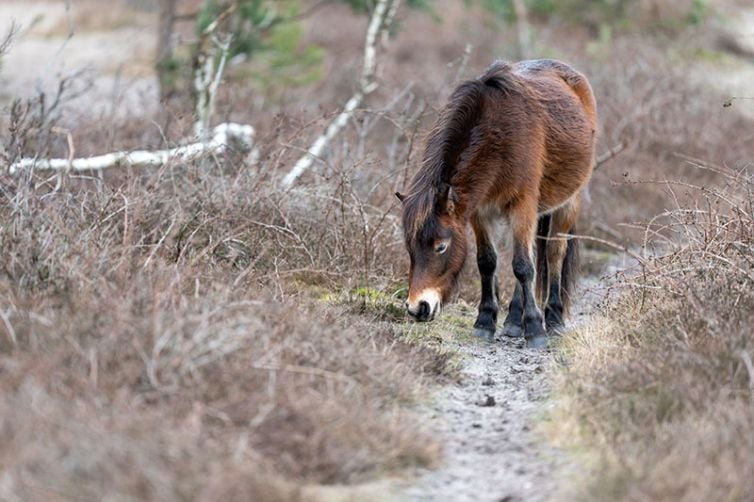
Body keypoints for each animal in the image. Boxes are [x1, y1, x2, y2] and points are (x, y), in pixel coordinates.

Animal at [395, 59, 597, 348]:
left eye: (441, 246)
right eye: (410, 247)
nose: (417, 308)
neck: (500, 135)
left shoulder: (522, 206)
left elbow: (523, 266)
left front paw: (535, 329)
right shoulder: (480, 212)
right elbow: (488, 262)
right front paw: (485, 321)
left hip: (567, 204)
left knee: (553, 253)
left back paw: (554, 319)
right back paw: (513, 320)